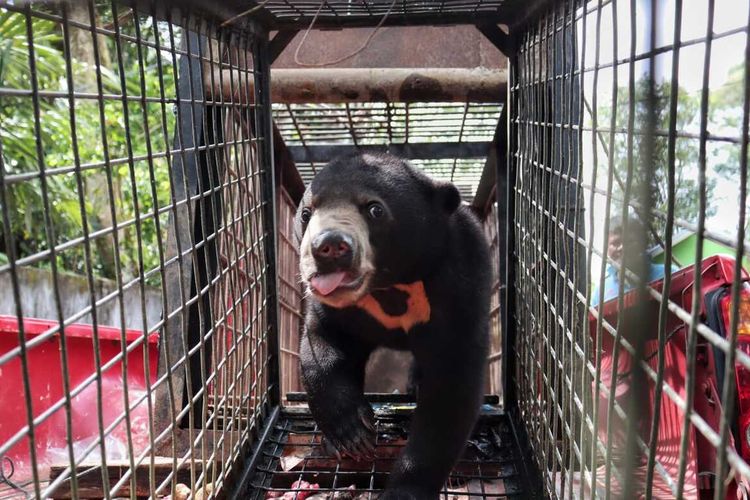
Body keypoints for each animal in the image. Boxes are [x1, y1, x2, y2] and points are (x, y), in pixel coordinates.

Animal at [294, 154, 494, 498]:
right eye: (307, 213)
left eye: (375, 209)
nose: (329, 247)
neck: (388, 285)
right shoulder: (337, 309)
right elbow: (322, 344)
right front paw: (352, 433)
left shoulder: (462, 284)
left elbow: (450, 391)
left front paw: (405, 489)